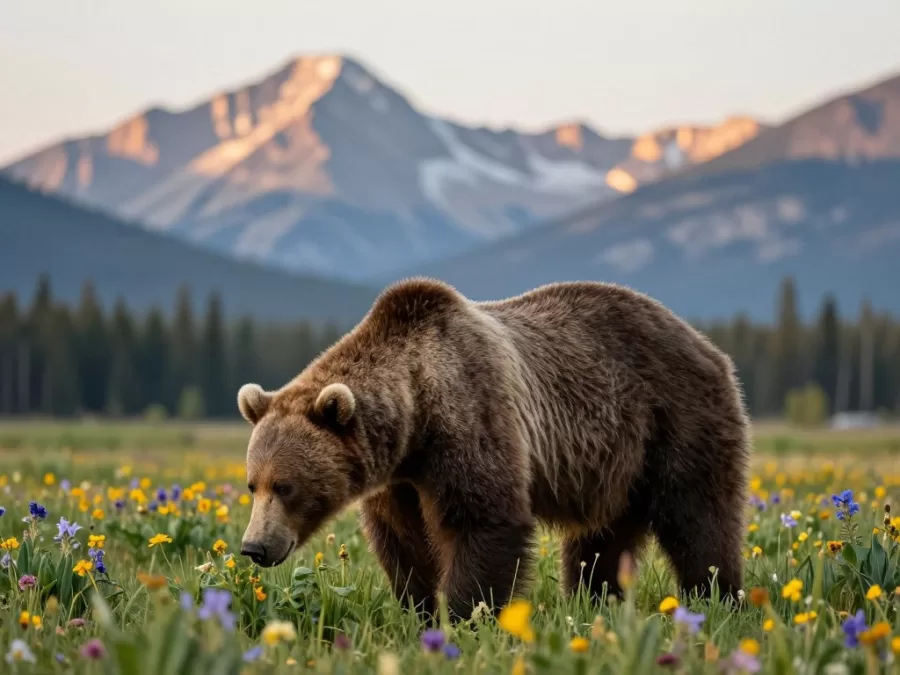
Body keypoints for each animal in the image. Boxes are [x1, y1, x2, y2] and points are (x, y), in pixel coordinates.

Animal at [237, 277, 750, 619]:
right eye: (252, 485)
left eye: (285, 486)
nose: (254, 547)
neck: (416, 412)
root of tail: (706, 343)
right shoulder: (399, 478)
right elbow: (402, 541)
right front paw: (418, 609)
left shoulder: (471, 415)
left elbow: (482, 520)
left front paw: (465, 615)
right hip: (615, 464)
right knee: (603, 538)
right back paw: (593, 600)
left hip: (676, 418)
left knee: (699, 515)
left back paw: (718, 597)